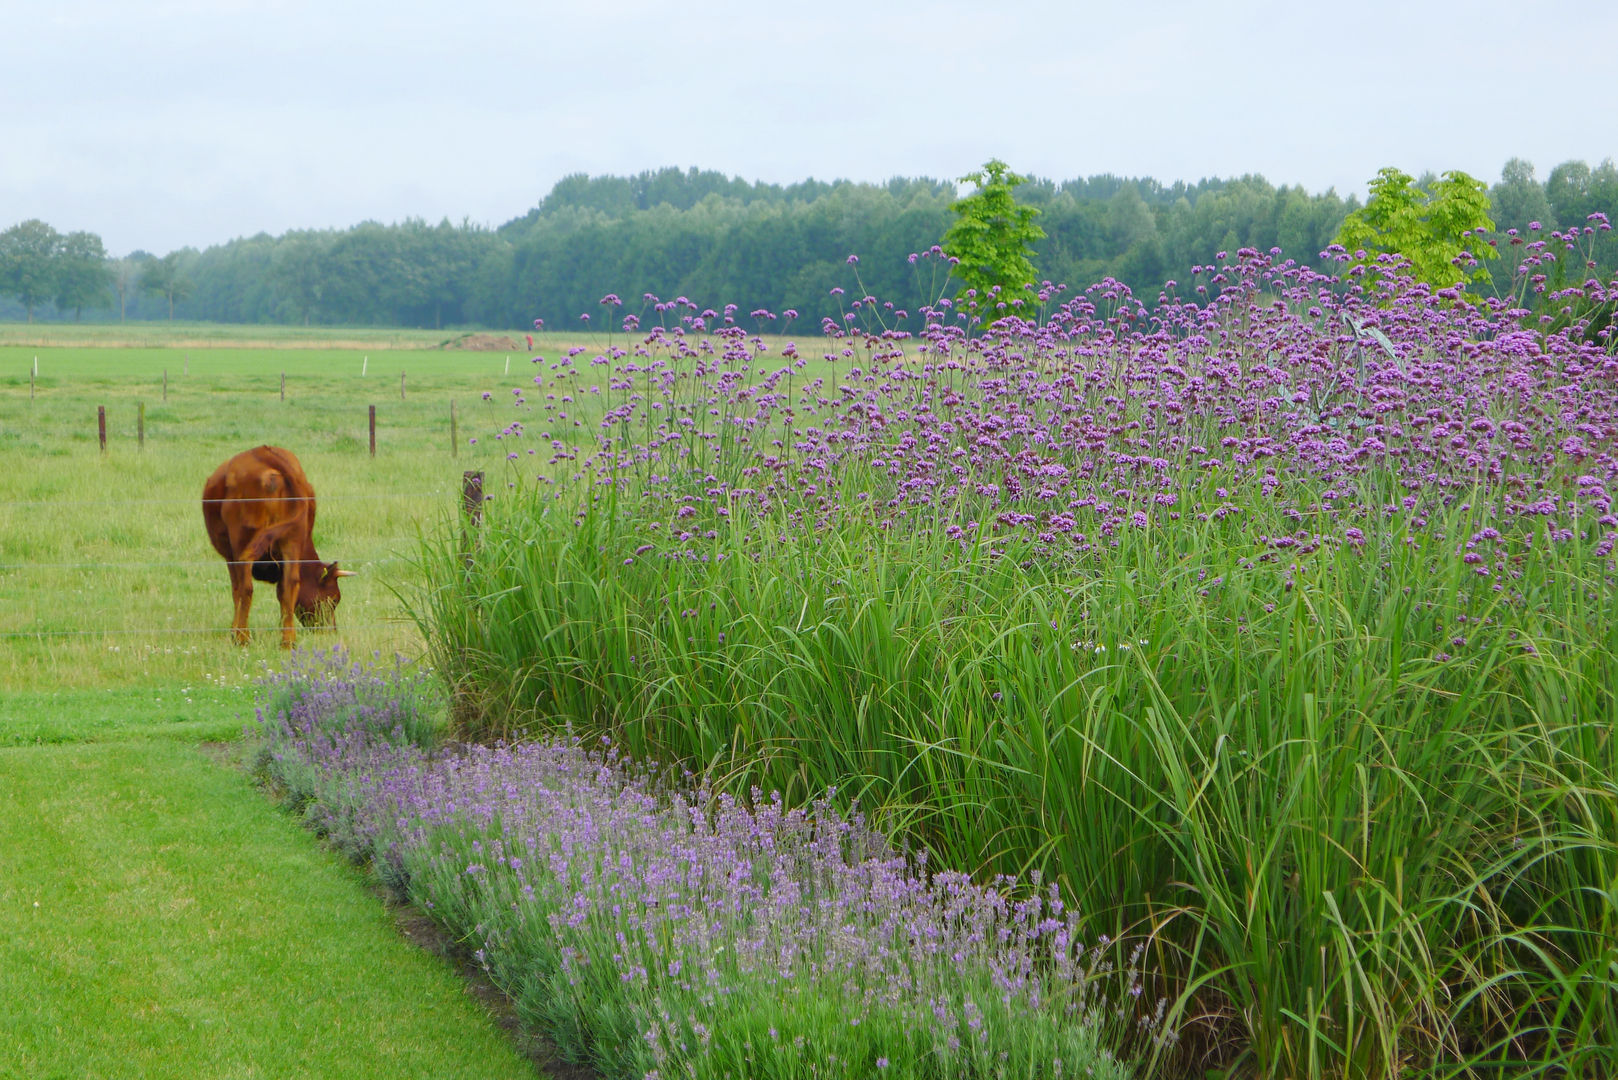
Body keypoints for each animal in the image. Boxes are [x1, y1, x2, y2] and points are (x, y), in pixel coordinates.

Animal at [202, 443, 354, 647]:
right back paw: (287, 641)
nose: (330, 631)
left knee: (245, 587)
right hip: (292, 539)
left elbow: (236, 590)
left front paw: (234, 632)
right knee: (290, 584)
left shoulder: (230, 555)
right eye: (334, 599)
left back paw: (242, 637)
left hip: (243, 542)